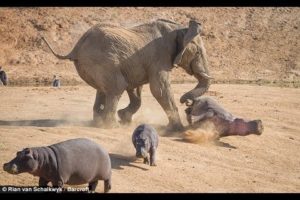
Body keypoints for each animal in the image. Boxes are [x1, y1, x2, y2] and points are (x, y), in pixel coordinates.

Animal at [42, 18, 212, 131]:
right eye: (198, 52)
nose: (187, 102)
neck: (179, 28)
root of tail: (76, 47)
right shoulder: (159, 58)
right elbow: (159, 89)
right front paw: (177, 129)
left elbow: (136, 89)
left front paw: (125, 118)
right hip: (102, 61)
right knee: (117, 87)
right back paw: (112, 126)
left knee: (103, 90)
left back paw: (99, 123)